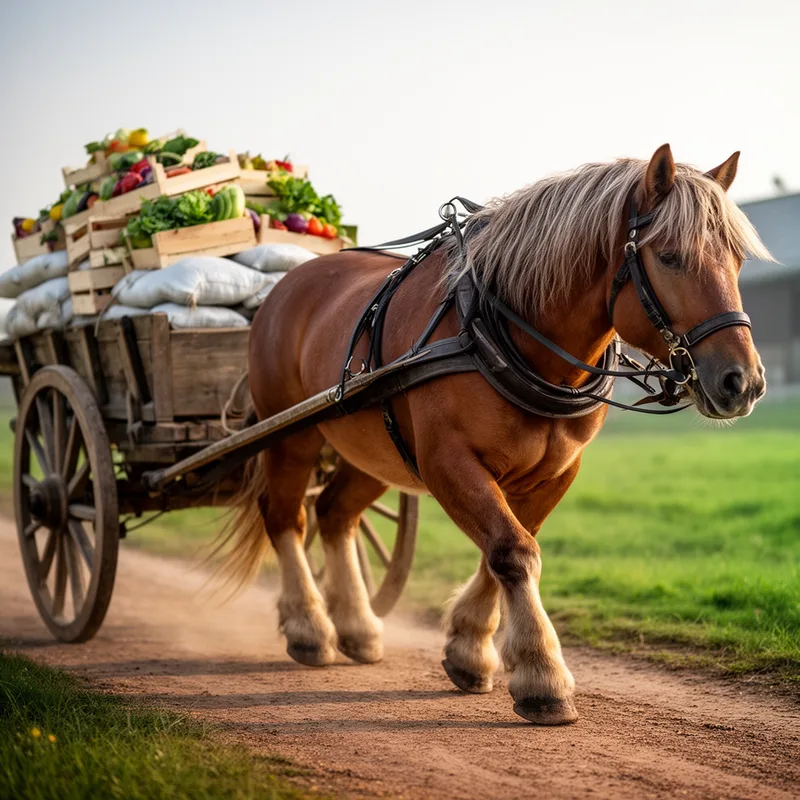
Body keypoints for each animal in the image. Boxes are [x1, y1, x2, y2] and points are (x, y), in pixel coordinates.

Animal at [219, 144, 770, 725]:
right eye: (669, 257)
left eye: (736, 259)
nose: (743, 381)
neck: (504, 335)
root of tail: (288, 283)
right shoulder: (447, 462)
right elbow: (513, 549)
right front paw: (543, 676)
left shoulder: (555, 471)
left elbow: (509, 546)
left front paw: (468, 648)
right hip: (291, 437)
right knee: (286, 516)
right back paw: (309, 626)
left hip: (374, 449)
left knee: (334, 513)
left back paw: (357, 626)